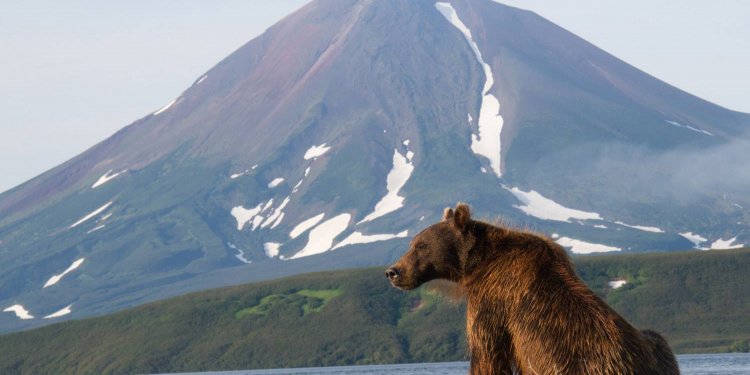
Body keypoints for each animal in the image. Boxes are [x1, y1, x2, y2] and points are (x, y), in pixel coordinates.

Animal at [388, 204, 680, 374]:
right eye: (412, 243)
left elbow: (487, 354)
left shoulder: (494, 299)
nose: (393, 271)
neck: (478, 265)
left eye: (421, 245)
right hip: (660, 352)